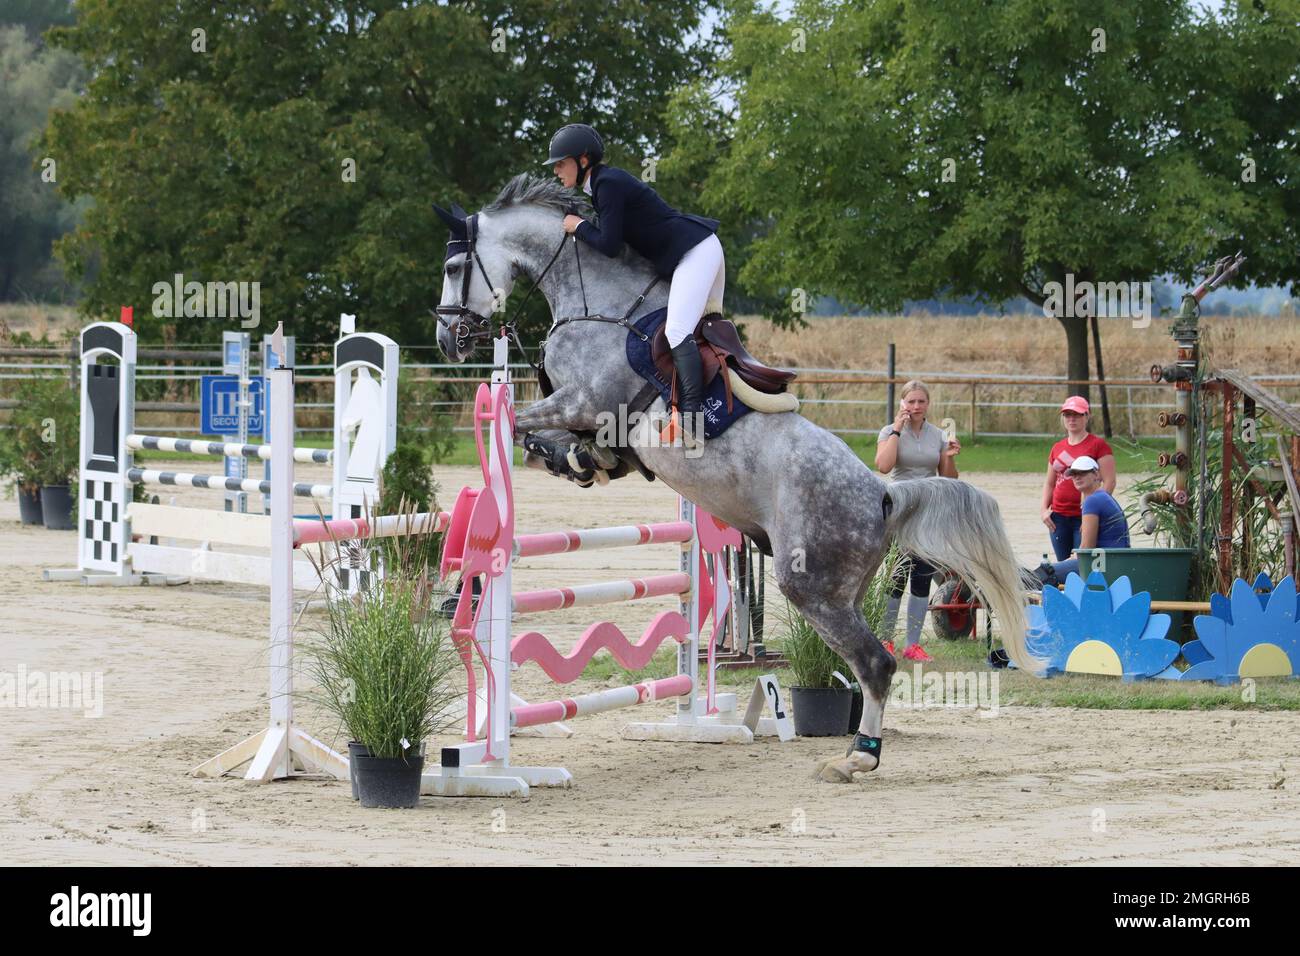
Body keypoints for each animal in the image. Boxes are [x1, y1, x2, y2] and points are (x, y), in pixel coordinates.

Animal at [436, 174, 1034, 785]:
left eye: (455, 265)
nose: (447, 339)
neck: (598, 306)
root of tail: (882, 493)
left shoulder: (584, 402)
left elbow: (519, 424)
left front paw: (558, 452)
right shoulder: (583, 414)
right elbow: (552, 440)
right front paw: (582, 462)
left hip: (810, 584)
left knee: (875, 663)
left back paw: (856, 758)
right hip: (842, 588)